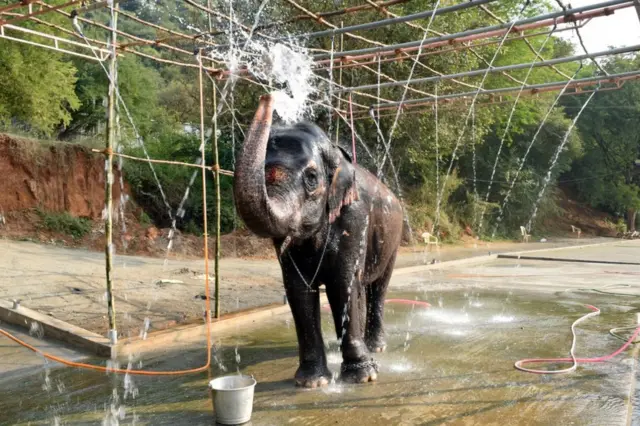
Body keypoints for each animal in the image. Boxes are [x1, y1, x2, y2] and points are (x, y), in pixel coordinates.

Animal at [233, 94, 404, 387]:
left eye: (312, 178)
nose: (268, 96)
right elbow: (299, 290)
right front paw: (312, 382)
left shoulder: (356, 217)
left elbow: (342, 284)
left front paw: (362, 377)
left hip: (394, 239)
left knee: (378, 287)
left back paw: (376, 346)